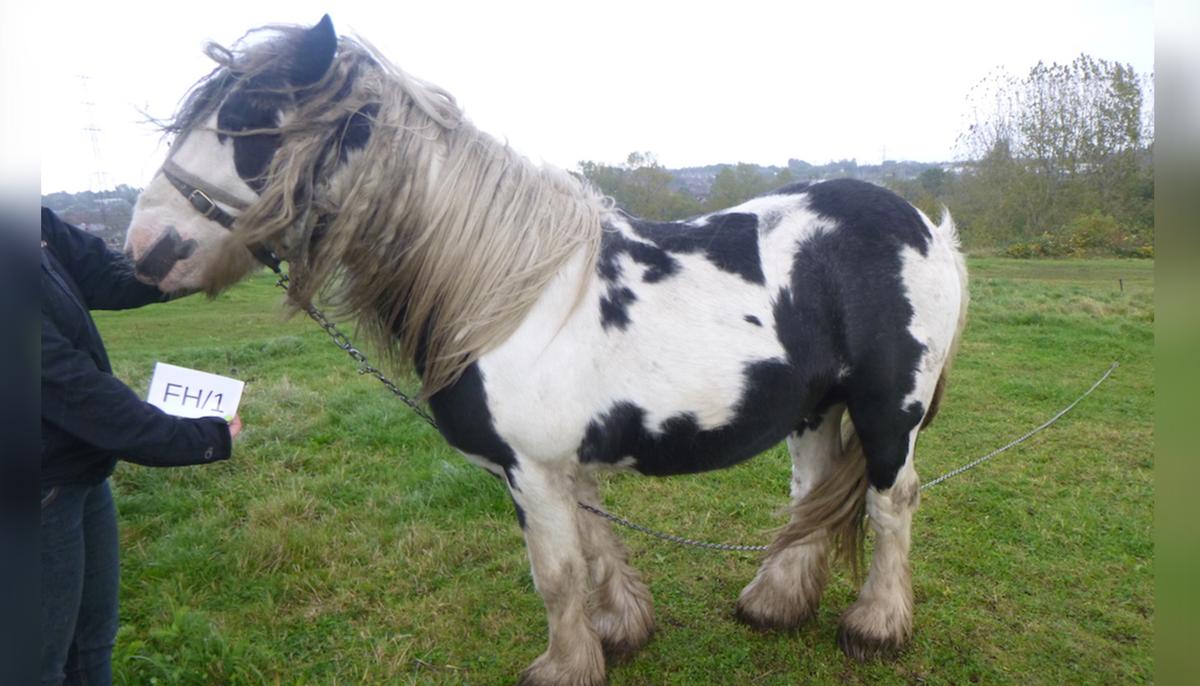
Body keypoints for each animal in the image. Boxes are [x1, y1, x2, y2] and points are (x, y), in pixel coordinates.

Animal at [124, 16, 968, 685]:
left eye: (249, 118)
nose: (145, 250)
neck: (504, 290)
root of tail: (925, 227)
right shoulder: (563, 466)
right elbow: (593, 552)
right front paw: (619, 633)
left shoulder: (530, 468)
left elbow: (556, 574)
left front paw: (565, 667)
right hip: (815, 409)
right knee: (814, 495)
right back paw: (775, 603)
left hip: (887, 413)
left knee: (891, 501)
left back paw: (876, 625)